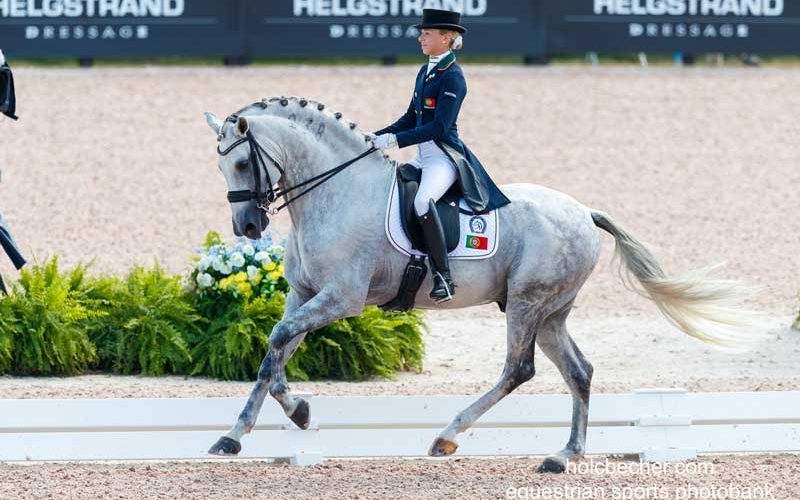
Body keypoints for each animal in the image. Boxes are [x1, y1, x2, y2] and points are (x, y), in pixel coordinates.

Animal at [203, 96, 760, 472]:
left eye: (242, 161)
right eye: (221, 164)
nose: (247, 227)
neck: (336, 192)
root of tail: (584, 212)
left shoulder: (342, 298)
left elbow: (278, 341)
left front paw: (270, 424)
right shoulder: (305, 295)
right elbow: (273, 352)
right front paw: (258, 426)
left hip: (527, 304)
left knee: (519, 369)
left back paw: (448, 437)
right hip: (551, 311)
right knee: (578, 371)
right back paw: (564, 455)